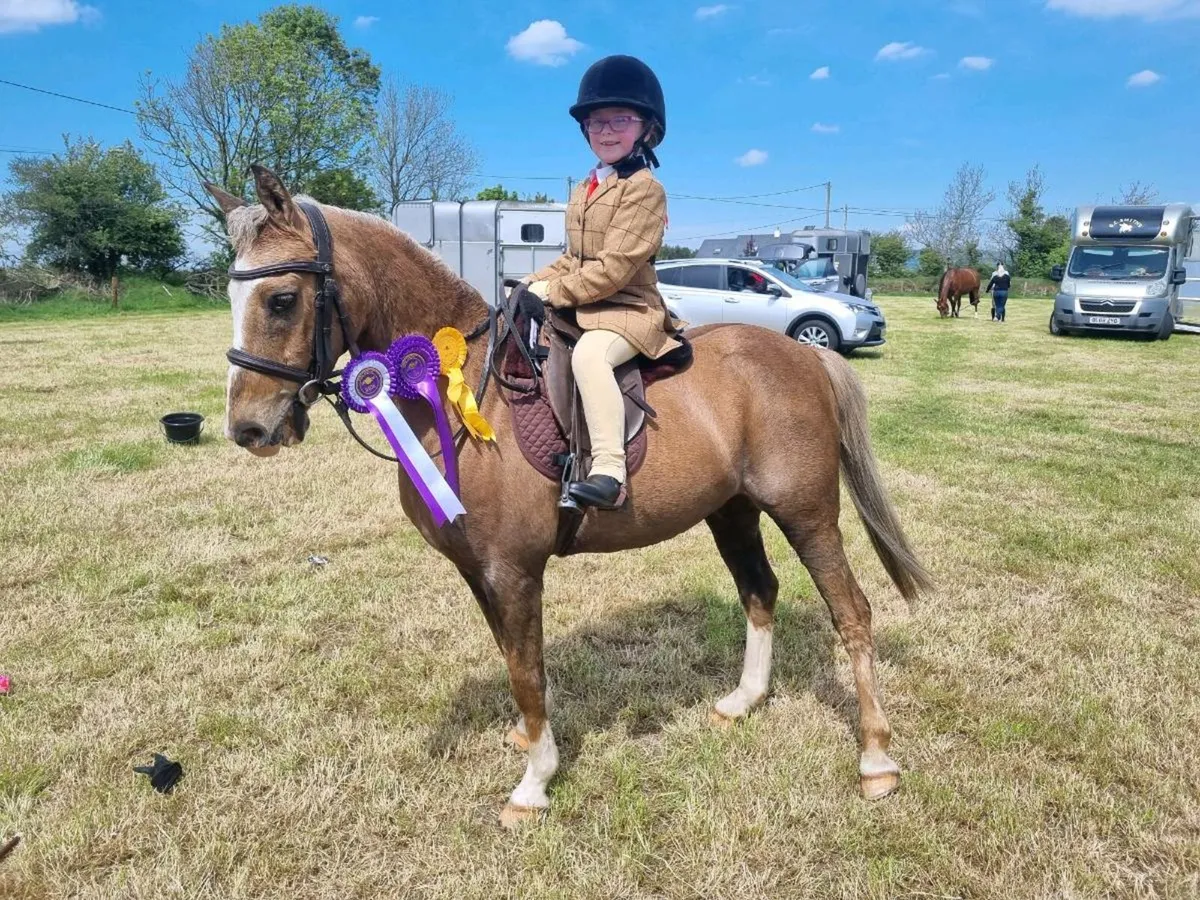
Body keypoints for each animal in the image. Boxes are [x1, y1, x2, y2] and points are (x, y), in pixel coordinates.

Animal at [206, 166, 932, 828]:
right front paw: (533, 743)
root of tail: (804, 356)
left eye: (280, 300)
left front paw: (533, 786)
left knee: (852, 614)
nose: (250, 430)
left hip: (806, 514)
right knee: (761, 591)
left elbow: (527, 671)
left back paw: (876, 760)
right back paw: (743, 702)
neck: (458, 393)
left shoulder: (514, 570)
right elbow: (514, 659)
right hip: (731, 512)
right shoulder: (478, 570)